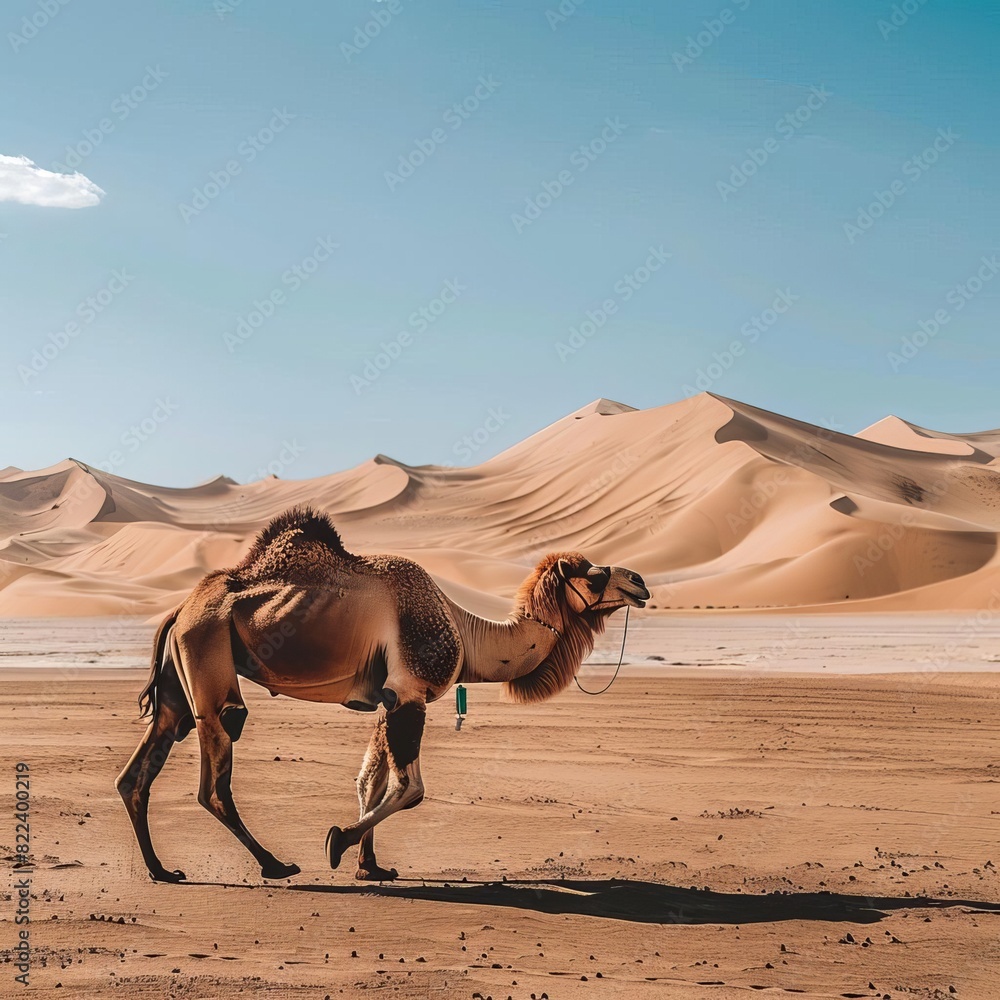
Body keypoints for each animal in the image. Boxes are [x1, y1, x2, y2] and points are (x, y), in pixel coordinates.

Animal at [116, 506, 649, 883]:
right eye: (594, 575)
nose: (641, 581)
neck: (466, 631)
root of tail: (180, 609)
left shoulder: (388, 697)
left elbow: (369, 781)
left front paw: (369, 866)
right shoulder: (411, 690)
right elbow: (410, 790)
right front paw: (337, 843)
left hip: (178, 683)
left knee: (140, 767)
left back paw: (162, 871)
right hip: (207, 657)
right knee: (218, 762)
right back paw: (275, 865)